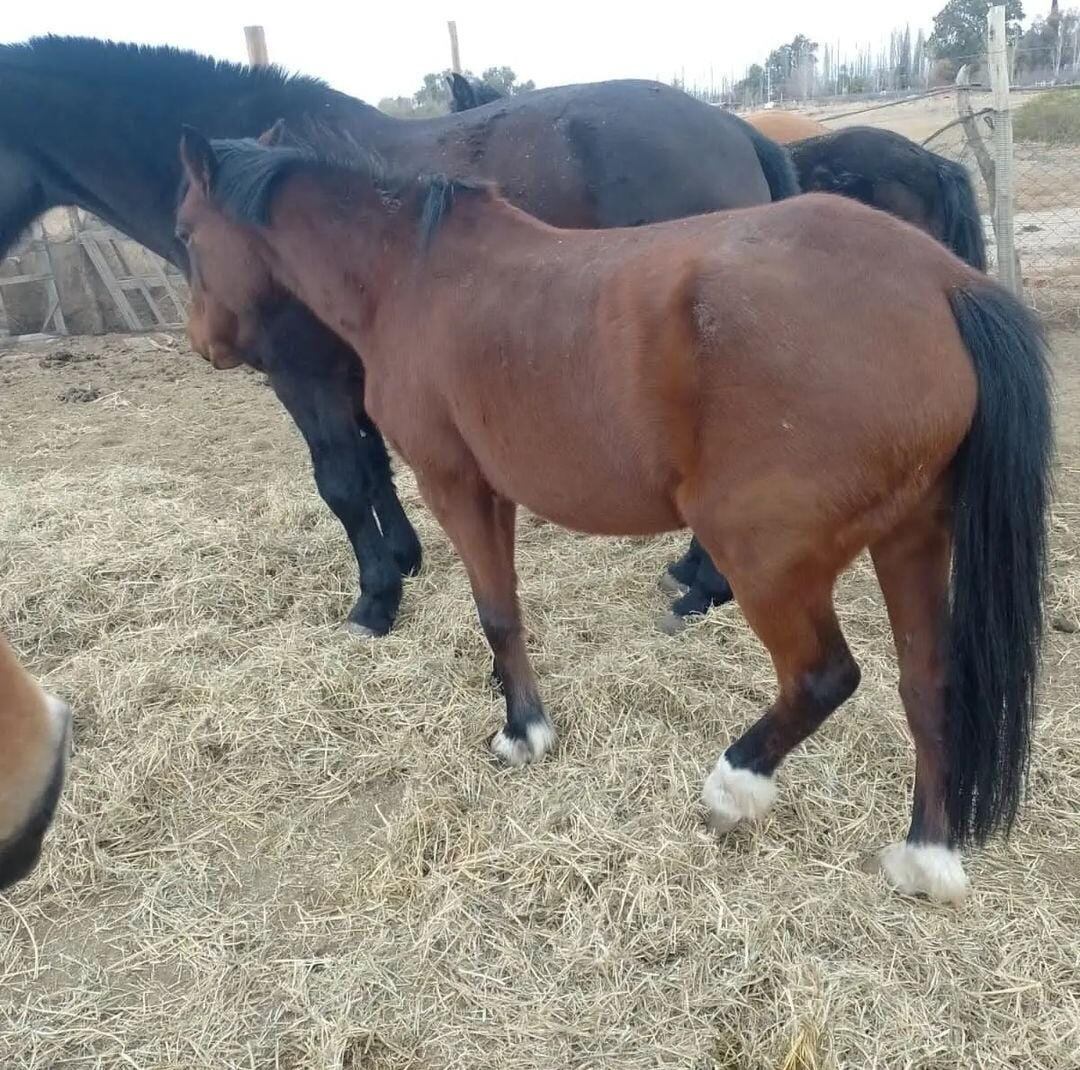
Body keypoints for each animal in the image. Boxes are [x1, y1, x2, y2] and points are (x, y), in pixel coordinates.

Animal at [0, 37, 794, 639]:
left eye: (191, 230)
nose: (206, 341)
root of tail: (738, 132)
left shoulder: (304, 376)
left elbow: (341, 482)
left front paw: (375, 600)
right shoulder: (354, 372)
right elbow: (375, 467)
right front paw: (405, 560)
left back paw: (704, 590)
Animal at [172, 133, 1049, 898]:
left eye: (185, 232)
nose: (206, 344)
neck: (412, 277)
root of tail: (942, 285)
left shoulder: (456, 484)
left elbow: (498, 612)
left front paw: (523, 731)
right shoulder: (493, 493)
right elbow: (504, 612)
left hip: (765, 559)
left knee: (822, 678)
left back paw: (734, 786)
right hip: (911, 539)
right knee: (927, 684)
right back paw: (926, 856)